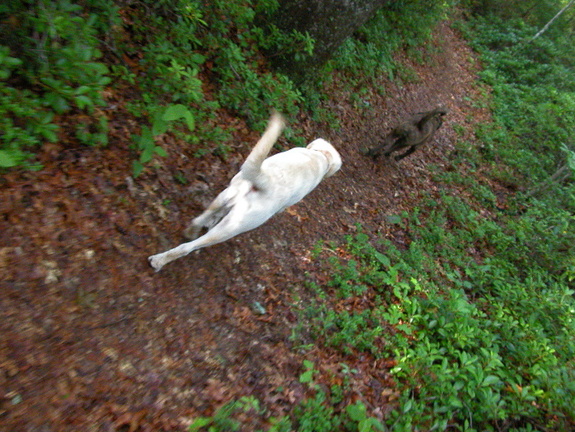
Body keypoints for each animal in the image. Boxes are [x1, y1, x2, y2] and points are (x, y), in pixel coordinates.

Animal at [148, 113, 342, 272]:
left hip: (226, 194)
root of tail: (265, 182)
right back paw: (159, 261)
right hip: (234, 226)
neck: (321, 156)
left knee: (200, 219)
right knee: (188, 247)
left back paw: (191, 231)